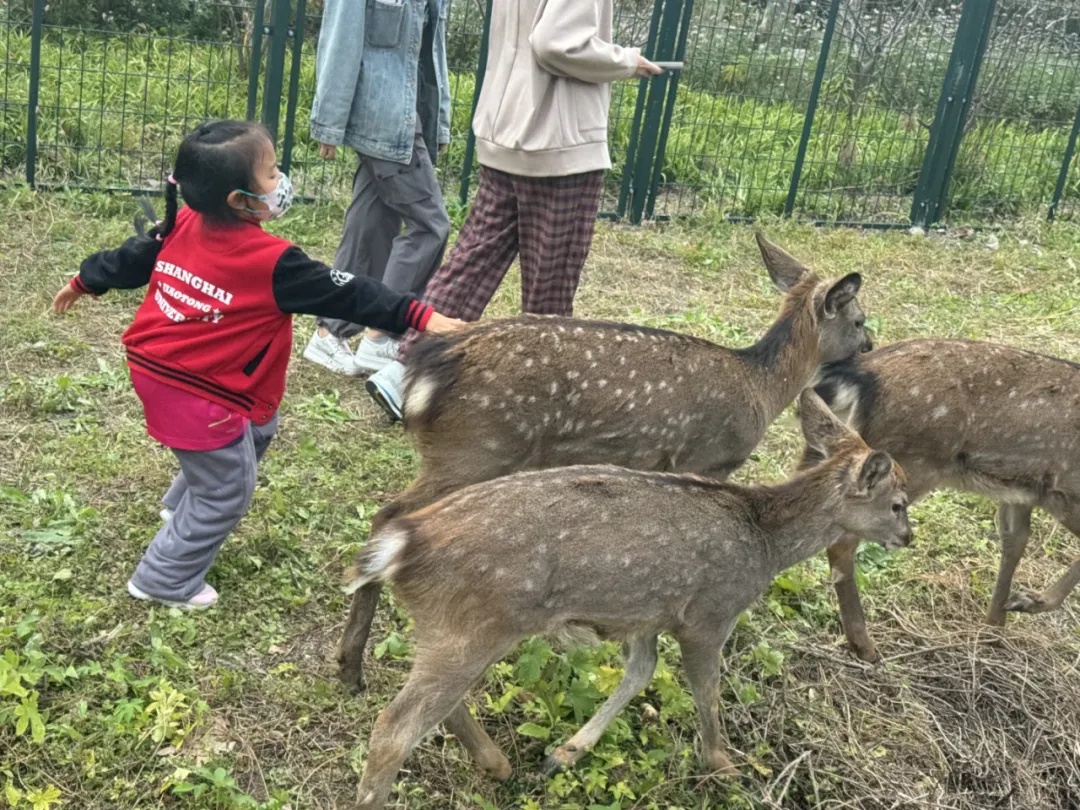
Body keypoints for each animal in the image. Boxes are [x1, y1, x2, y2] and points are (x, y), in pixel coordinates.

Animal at [345, 390, 911, 807]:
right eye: (898, 503)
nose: (908, 537)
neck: (763, 543)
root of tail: (401, 549)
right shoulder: (708, 615)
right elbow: (705, 690)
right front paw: (723, 766)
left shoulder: (646, 616)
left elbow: (640, 673)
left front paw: (565, 753)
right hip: (473, 624)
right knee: (395, 728)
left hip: (452, 628)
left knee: (440, 706)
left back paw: (499, 764)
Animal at [807, 339, 1080, 660]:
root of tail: (857, 372)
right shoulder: (1065, 491)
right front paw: (1029, 602)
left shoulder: (1020, 492)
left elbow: (1015, 542)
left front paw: (994, 628)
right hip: (911, 463)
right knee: (841, 541)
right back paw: (864, 645)